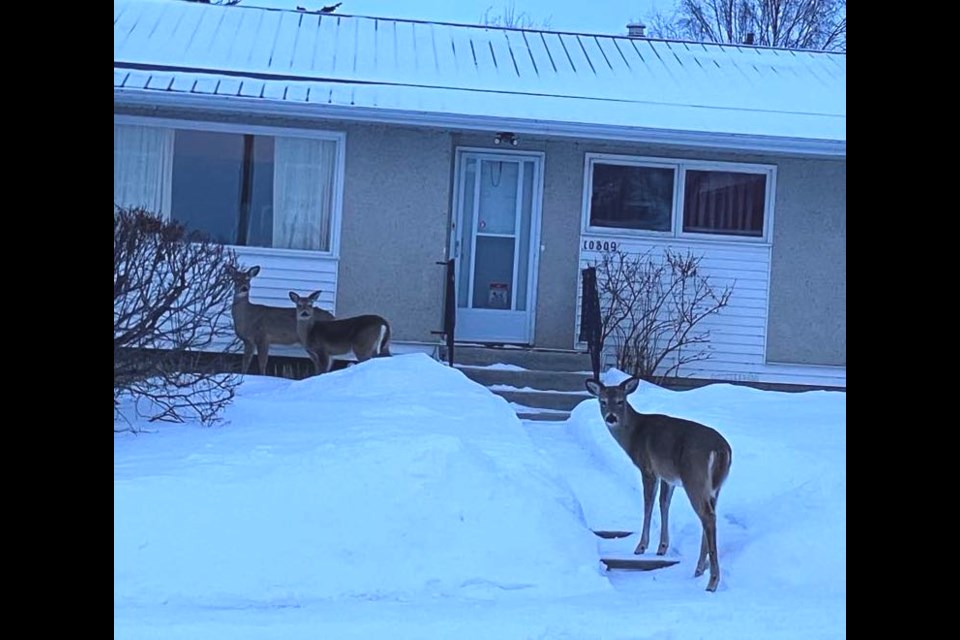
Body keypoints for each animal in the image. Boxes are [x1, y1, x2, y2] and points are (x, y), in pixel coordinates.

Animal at [584, 378, 736, 592]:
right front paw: (662, 547)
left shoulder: (648, 469)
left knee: (707, 516)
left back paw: (712, 581)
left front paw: (641, 546)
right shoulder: (667, 476)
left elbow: (648, 504)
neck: (634, 433)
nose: (611, 417)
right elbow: (664, 503)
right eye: (603, 401)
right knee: (709, 515)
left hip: (694, 477)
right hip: (715, 486)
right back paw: (699, 568)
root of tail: (722, 450)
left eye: (621, 401)